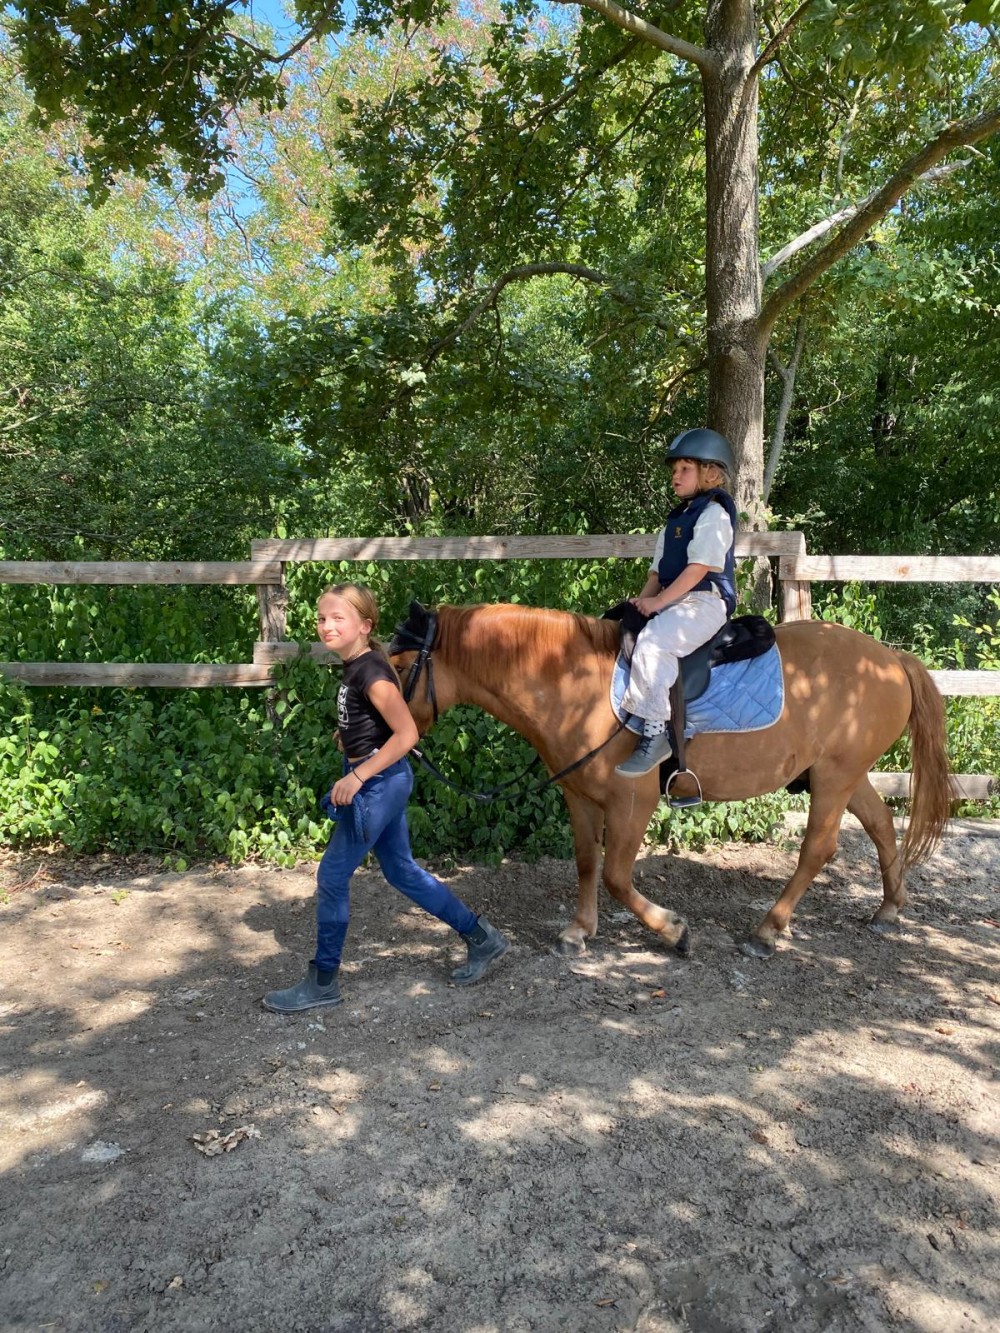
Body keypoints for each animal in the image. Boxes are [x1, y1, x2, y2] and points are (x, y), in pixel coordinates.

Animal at [389, 602, 952, 958]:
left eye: (398, 665)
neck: (573, 685)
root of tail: (891, 658)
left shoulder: (631, 802)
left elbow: (617, 877)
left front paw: (674, 931)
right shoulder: (580, 797)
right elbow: (588, 864)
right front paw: (579, 931)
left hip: (835, 777)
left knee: (819, 848)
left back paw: (767, 931)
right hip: (844, 775)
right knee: (881, 826)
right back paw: (889, 908)